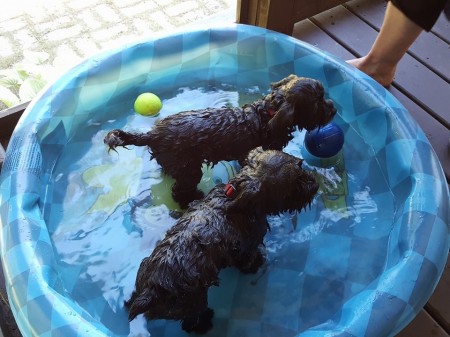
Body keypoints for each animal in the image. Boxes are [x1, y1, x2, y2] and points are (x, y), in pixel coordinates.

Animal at [103, 73, 334, 207]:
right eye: (317, 102)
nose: (334, 109)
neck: (267, 113)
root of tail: (152, 135)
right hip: (189, 169)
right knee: (179, 190)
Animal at [125, 148, 318, 332]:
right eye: (297, 176)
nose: (315, 183)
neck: (237, 197)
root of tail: (149, 292)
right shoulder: (247, 247)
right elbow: (248, 259)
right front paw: (257, 264)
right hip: (193, 302)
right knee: (192, 320)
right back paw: (205, 322)